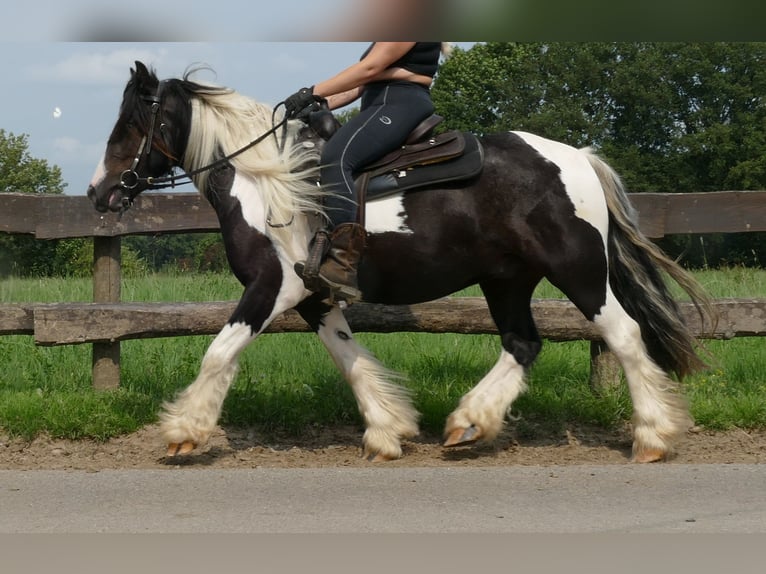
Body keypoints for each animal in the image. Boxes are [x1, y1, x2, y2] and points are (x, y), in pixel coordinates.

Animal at [85, 63, 712, 466]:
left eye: (128, 126)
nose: (99, 193)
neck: (263, 183)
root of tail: (577, 158)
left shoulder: (272, 287)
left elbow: (219, 352)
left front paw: (184, 431)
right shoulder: (314, 296)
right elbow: (349, 359)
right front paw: (387, 429)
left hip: (578, 270)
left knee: (624, 336)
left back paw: (653, 437)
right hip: (507, 279)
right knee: (523, 343)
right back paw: (468, 422)